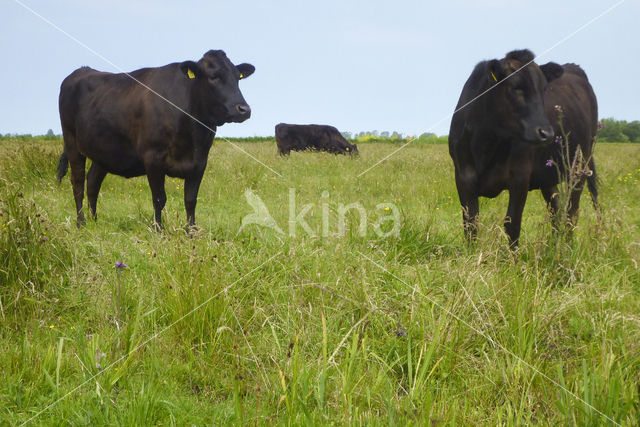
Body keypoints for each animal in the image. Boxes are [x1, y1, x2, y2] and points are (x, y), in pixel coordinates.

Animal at [56, 49, 254, 231]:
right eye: (214, 77)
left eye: (237, 77)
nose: (244, 109)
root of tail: (81, 70)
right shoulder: (153, 158)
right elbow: (159, 198)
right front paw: (158, 229)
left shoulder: (199, 163)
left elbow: (190, 199)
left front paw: (192, 231)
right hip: (72, 142)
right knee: (78, 182)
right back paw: (81, 222)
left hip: (104, 152)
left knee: (92, 183)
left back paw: (95, 220)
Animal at [448, 49, 596, 247]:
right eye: (515, 87)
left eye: (543, 90)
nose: (546, 133)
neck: (485, 145)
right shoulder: (462, 176)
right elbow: (470, 223)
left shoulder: (520, 177)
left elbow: (512, 224)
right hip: (548, 176)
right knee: (555, 210)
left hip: (580, 166)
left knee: (571, 213)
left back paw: (566, 247)